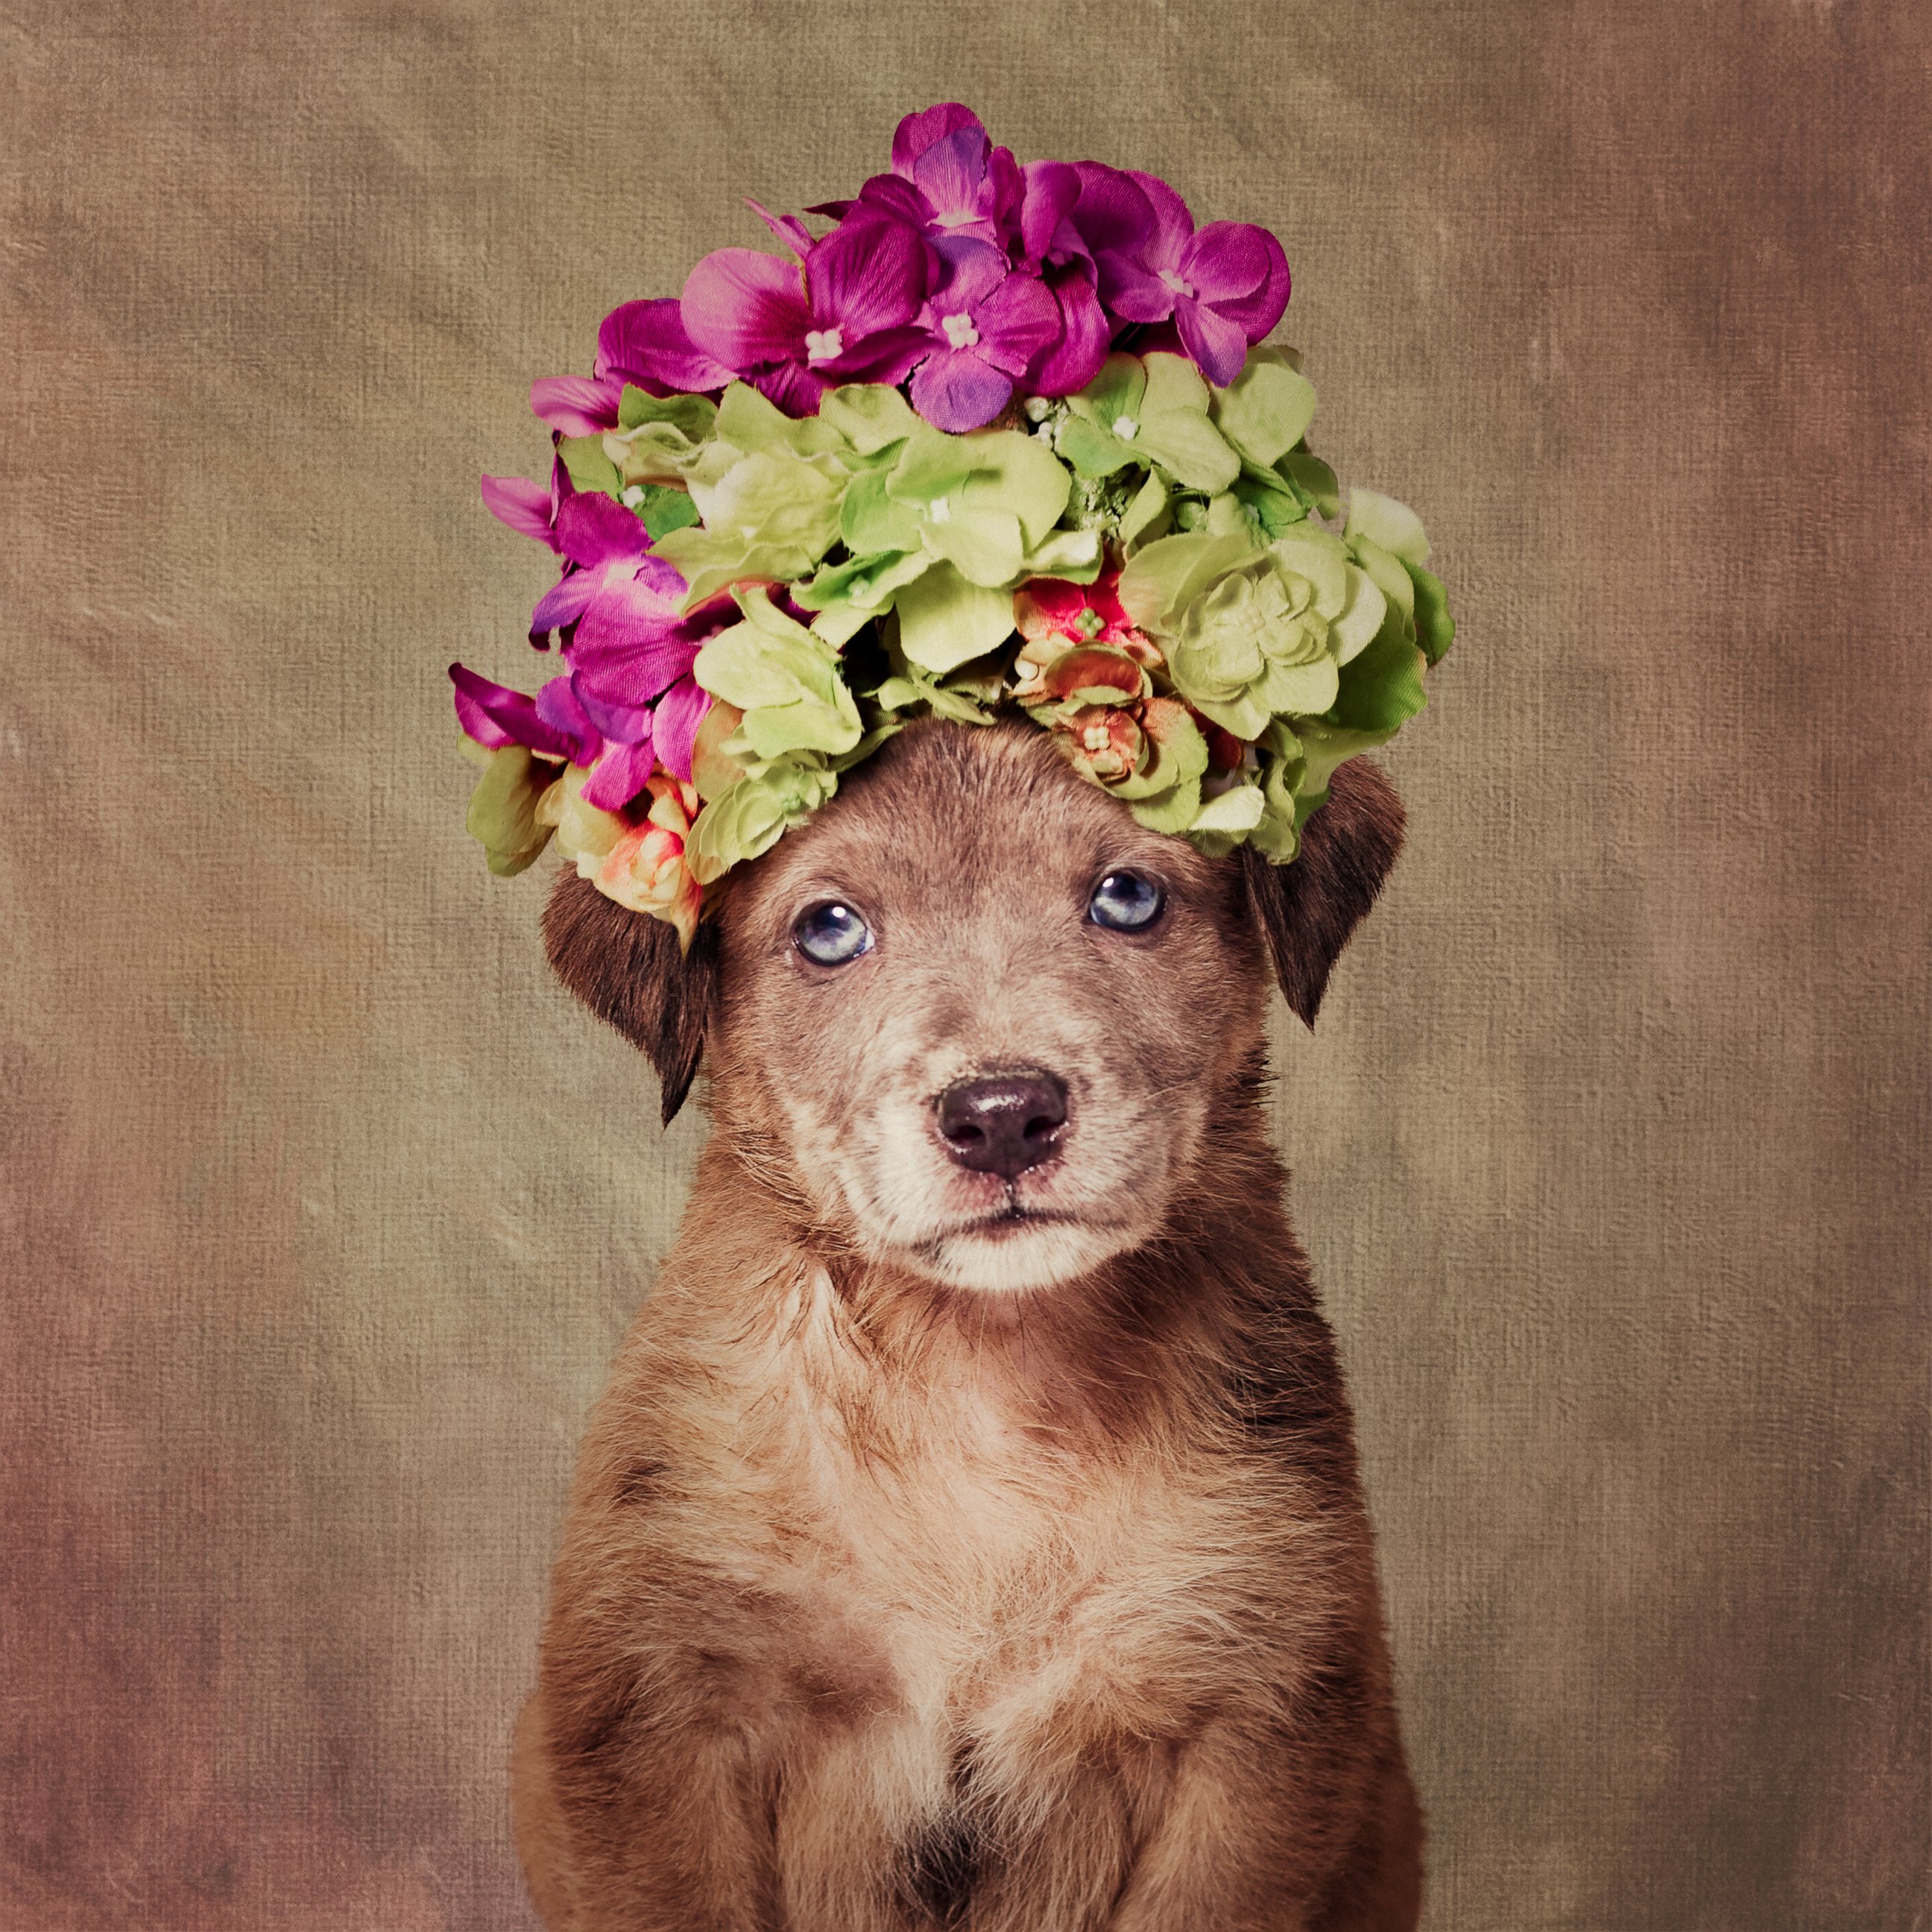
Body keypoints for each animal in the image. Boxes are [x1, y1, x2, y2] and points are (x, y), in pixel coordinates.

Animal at [510, 722, 1421, 1932]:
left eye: (1128, 897)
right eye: (830, 928)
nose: (1002, 1116)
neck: (982, 1373)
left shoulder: (1251, 1725)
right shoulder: (661, 1715)